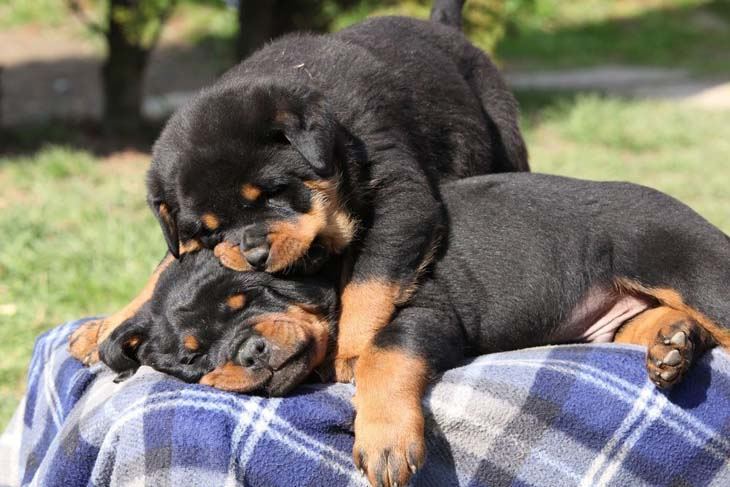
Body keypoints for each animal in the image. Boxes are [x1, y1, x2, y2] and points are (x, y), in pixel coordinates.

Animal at [92, 173, 728, 486]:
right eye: (193, 358)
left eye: (252, 296)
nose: (249, 352)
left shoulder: (423, 312)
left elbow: (380, 356)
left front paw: (384, 441)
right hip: (615, 316)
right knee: (649, 324)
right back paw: (672, 345)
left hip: (690, 268)